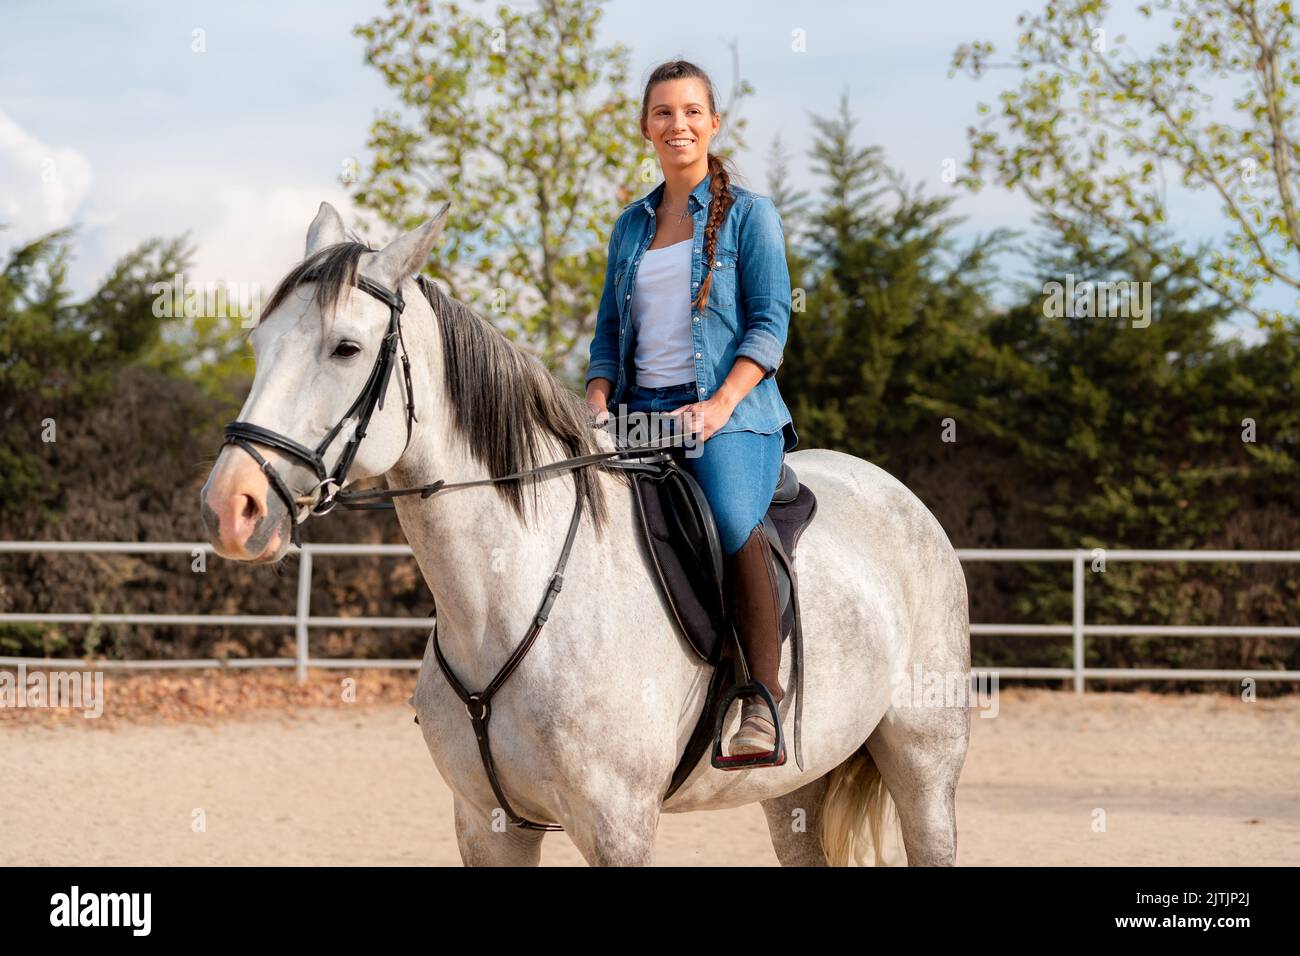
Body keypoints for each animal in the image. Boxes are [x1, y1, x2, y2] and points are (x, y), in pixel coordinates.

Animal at [202, 201, 972, 868]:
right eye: (259, 343)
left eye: (346, 348)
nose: (231, 506)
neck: (505, 598)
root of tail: (900, 496)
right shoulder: (487, 825)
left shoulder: (618, 827)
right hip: (792, 790)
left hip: (925, 770)